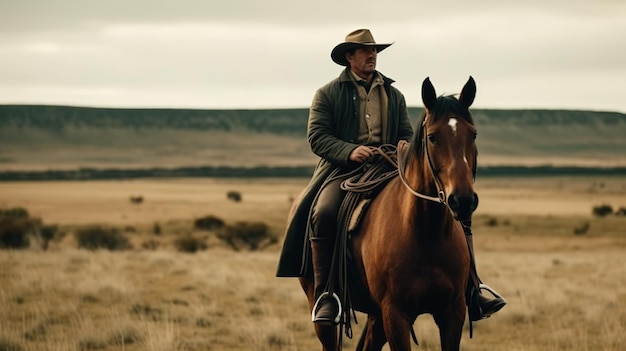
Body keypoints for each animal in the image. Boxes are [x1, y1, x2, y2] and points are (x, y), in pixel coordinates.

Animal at [300, 77, 476, 351]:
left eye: (473, 134)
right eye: (433, 138)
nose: (463, 200)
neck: (426, 233)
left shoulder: (453, 311)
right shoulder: (395, 313)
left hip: (376, 316)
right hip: (324, 310)